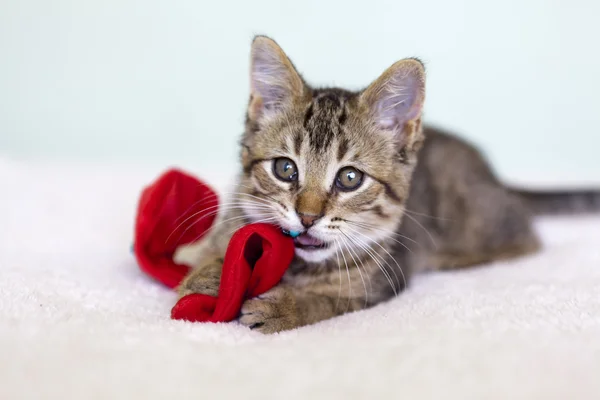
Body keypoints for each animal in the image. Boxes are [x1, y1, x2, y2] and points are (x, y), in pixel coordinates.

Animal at [175, 36, 600, 334]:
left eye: (349, 178)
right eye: (285, 169)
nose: (308, 217)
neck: (303, 267)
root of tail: (495, 177)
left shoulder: (383, 283)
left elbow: (330, 302)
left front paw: (286, 307)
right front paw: (209, 275)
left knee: (526, 236)